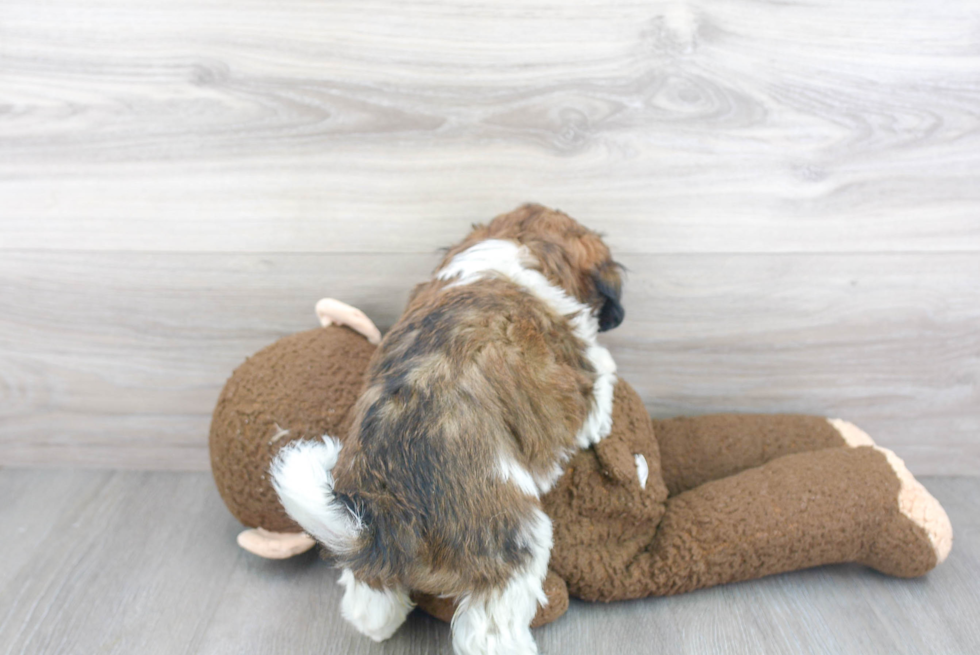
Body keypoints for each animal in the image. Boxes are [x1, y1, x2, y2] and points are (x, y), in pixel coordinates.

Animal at [270, 205, 620, 655]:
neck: (520, 245)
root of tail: (385, 517)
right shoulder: (582, 375)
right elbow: (604, 371)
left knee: (368, 600)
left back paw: (377, 622)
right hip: (514, 539)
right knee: (489, 627)